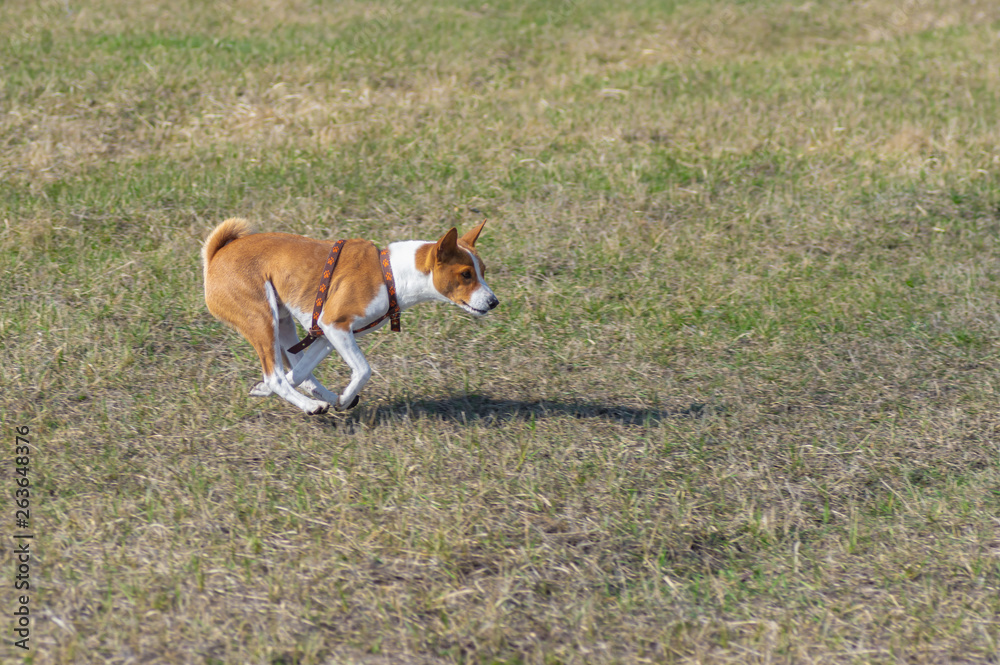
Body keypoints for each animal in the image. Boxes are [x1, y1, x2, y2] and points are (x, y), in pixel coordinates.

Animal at [203, 218, 500, 412]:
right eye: (466, 274)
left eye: (483, 271)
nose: (494, 301)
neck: (390, 273)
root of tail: (217, 254)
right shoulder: (335, 325)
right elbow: (363, 370)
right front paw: (344, 399)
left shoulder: (326, 334)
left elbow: (300, 371)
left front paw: (263, 390)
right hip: (263, 320)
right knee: (275, 375)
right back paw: (311, 405)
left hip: (284, 323)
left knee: (293, 371)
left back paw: (319, 397)